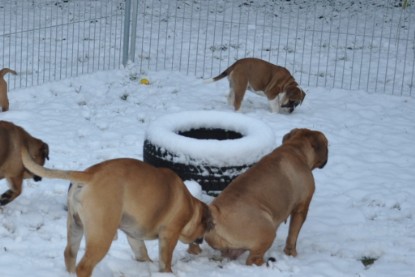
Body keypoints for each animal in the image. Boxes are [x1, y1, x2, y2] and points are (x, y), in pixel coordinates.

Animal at [20, 151, 213, 276]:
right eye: (206, 227)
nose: (202, 240)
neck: (191, 208)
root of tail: (89, 174)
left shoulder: (134, 236)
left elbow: (142, 253)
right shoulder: (170, 234)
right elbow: (165, 260)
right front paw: (167, 272)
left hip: (75, 225)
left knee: (70, 253)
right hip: (102, 235)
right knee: (84, 266)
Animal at [204, 128, 328, 264]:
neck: (296, 148)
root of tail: (216, 214)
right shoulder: (301, 208)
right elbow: (292, 236)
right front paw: (291, 253)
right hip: (268, 230)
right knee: (252, 259)